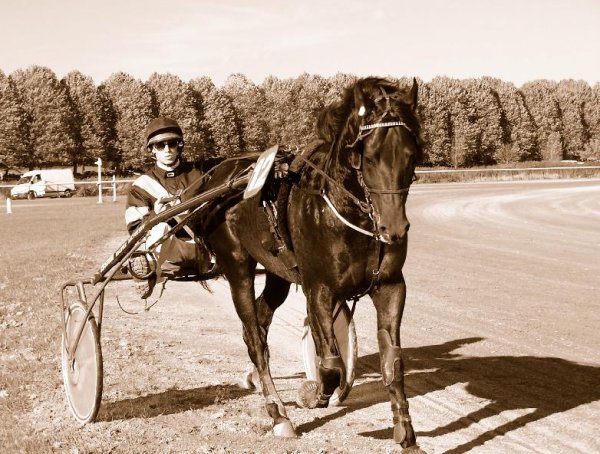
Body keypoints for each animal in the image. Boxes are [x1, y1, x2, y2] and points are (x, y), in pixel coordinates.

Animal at [195, 76, 424, 452]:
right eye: (369, 156)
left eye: (411, 153)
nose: (394, 228)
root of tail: (219, 176)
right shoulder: (319, 288)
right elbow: (330, 365)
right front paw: (312, 393)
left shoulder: (390, 286)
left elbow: (393, 361)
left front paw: (405, 431)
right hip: (237, 266)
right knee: (255, 337)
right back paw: (278, 414)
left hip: (278, 274)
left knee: (260, 321)